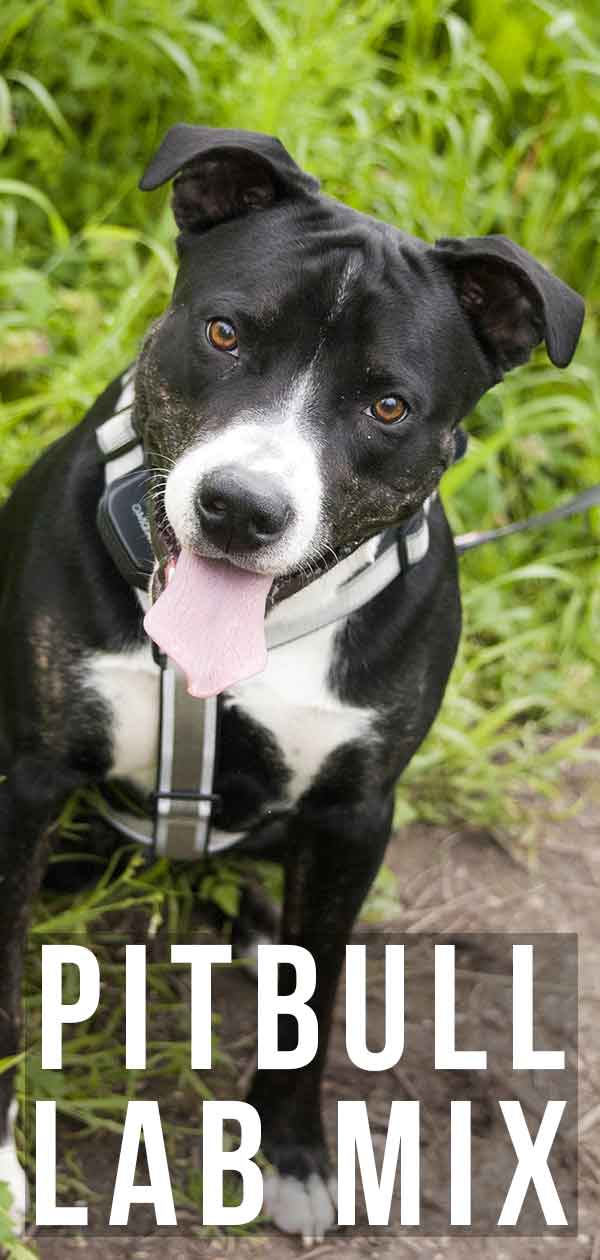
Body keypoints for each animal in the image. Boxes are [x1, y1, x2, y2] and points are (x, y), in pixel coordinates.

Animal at [0, 127, 582, 1239]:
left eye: (388, 405)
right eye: (225, 334)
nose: (239, 507)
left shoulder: (356, 812)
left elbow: (315, 1002)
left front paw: (295, 1152)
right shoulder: (29, 779)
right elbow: (3, 976)